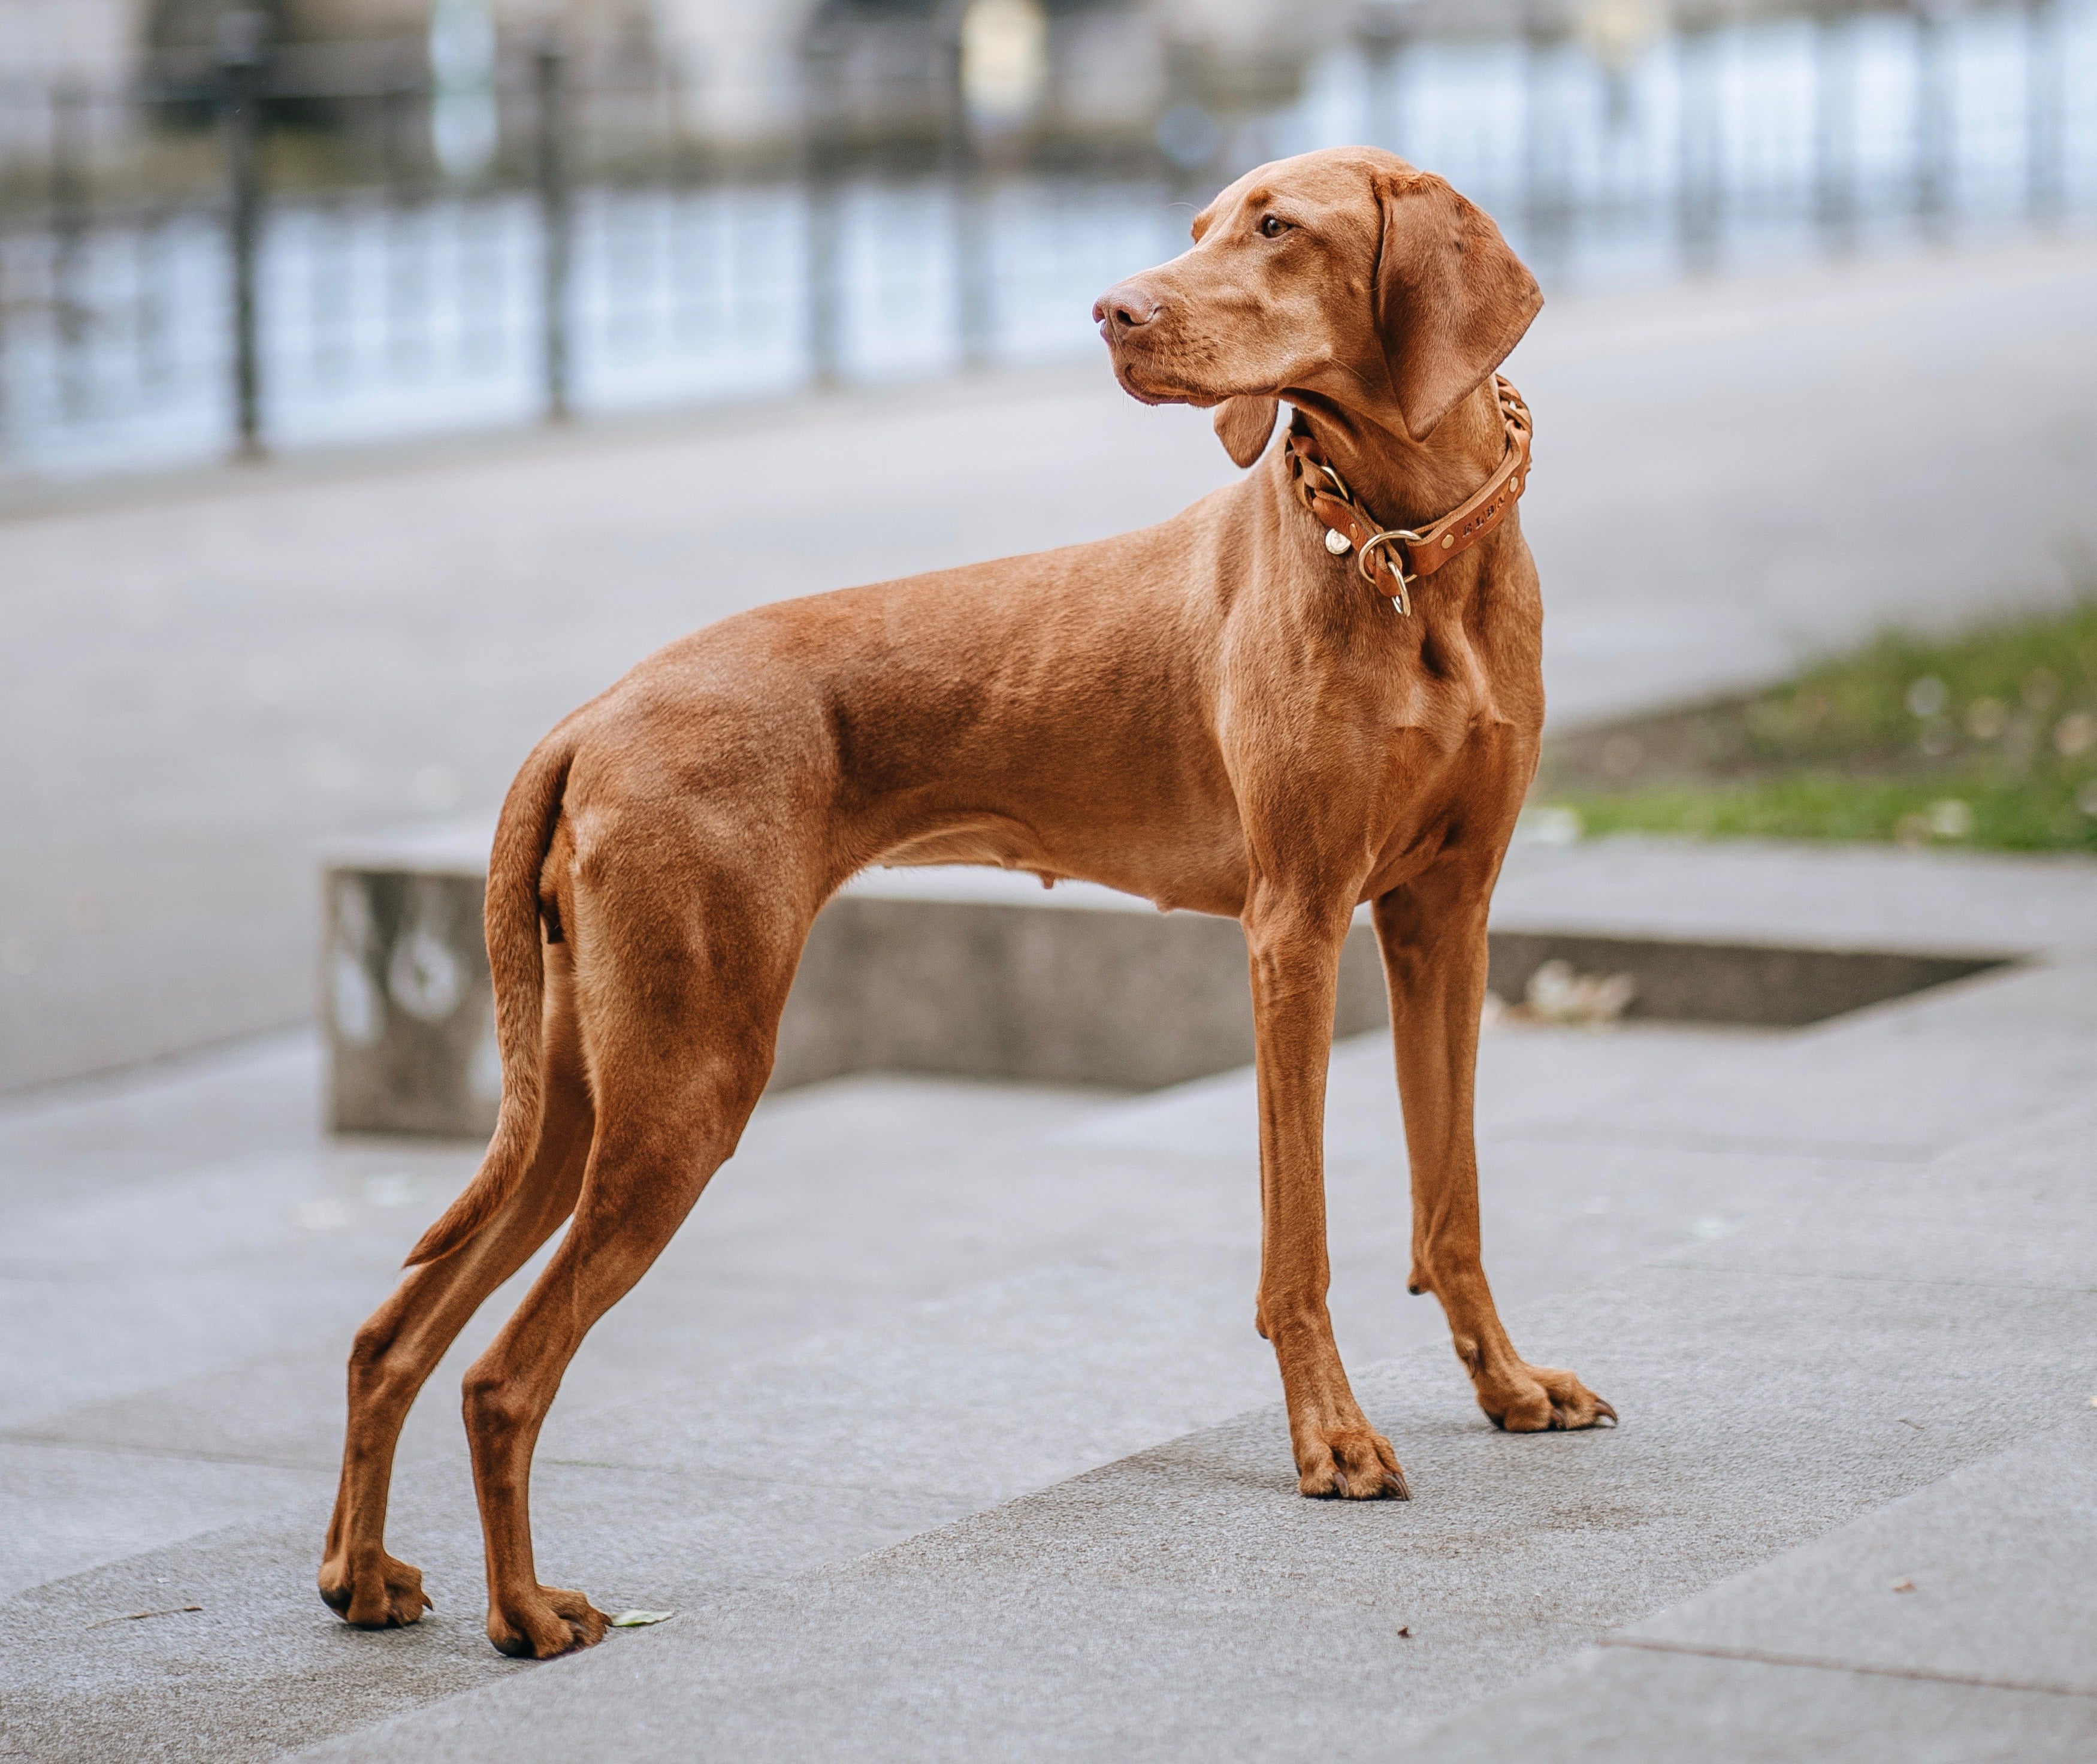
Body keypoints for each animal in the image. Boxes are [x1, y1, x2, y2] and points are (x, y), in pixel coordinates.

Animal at [319, 144, 1610, 1661]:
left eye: (1277, 228)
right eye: (1200, 229)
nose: (1112, 310)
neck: (1406, 546)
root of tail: (593, 712)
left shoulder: (1443, 916)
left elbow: (1448, 1198)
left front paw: (1507, 1385)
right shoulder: (1293, 926)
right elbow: (1300, 1240)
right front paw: (1332, 1440)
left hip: (582, 1098)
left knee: (396, 1334)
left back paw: (364, 1575)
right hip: (686, 1084)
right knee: (503, 1374)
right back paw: (525, 1610)